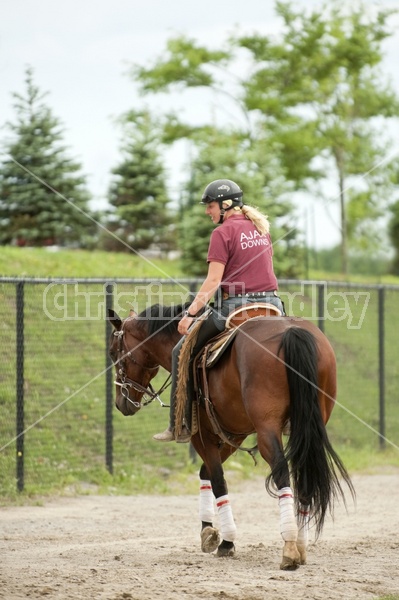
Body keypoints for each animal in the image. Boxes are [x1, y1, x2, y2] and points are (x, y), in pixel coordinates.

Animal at [108, 304, 354, 572]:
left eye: (113, 353)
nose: (121, 403)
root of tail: (292, 331)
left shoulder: (202, 433)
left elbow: (217, 479)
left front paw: (223, 539)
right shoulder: (234, 433)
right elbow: (206, 473)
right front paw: (210, 531)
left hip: (268, 429)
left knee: (281, 470)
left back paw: (289, 546)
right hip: (309, 424)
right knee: (305, 473)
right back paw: (300, 543)